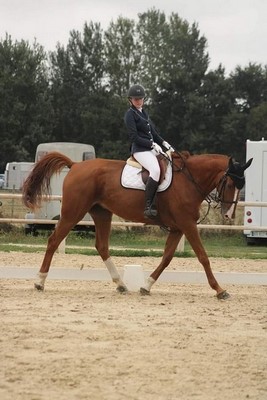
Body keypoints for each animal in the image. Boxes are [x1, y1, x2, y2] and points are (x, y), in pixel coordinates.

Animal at [22, 152, 253, 298]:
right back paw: (39, 281)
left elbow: (167, 257)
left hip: (102, 213)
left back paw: (121, 284)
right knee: (54, 240)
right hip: (73, 213)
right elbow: (203, 257)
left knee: (102, 246)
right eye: (230, 183)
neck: (189, 181)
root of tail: (76, 165)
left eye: (242, 185)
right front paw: (220, 290)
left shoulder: (178, 227)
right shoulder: (187, 225)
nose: (229, 215)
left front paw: (146, 286)